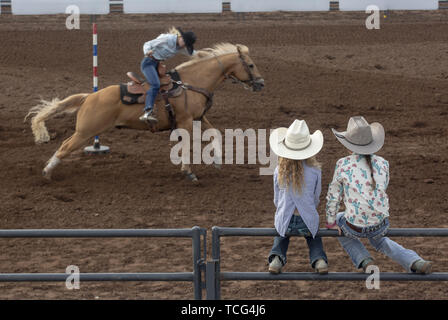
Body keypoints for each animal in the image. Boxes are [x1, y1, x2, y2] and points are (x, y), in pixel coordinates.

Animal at [25, 43, 262, 181]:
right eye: (250, 65)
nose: (261, 84)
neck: (192, 83)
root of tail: (88, 97)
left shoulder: (198, 118)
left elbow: (215, 134)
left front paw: (217, 161)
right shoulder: (185, 121)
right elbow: (187, 146)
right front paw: (188, 172)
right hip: (86, 131)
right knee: (65, 147)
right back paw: (47, 172)